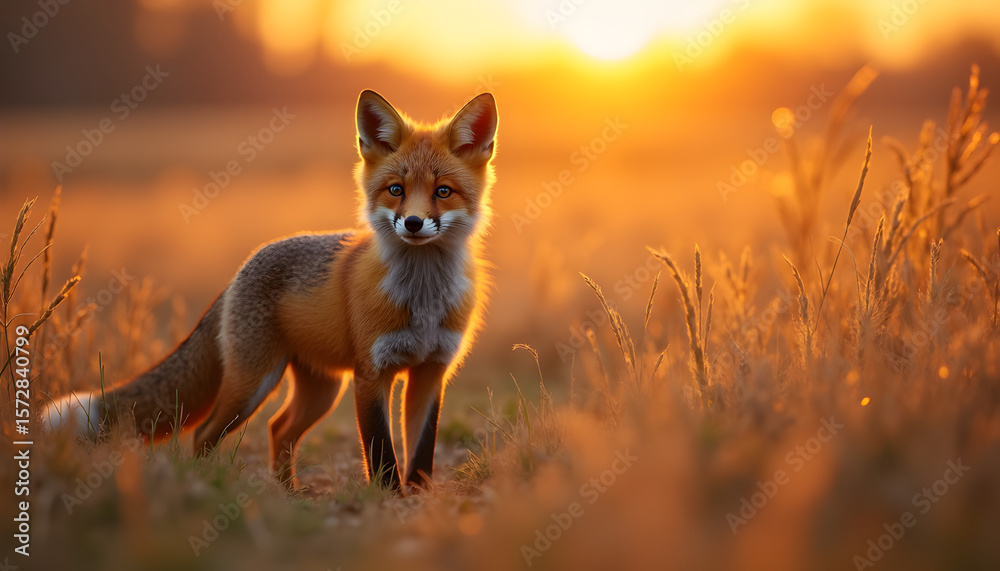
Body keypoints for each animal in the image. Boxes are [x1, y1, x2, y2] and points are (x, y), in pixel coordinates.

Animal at [43, 89, 498, 491]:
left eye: (443, 191)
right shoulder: (372, 374)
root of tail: (238, 273)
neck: (422, 297)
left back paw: (289, 494)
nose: (414, 223)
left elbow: (420, 454)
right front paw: (388, 501)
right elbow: (381, 453)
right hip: (253, 383)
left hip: (321, 390)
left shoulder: (431, 372)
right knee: (204, 433)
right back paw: (209, 486)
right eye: (396, 190)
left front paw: (419, 501)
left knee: (279, 429)